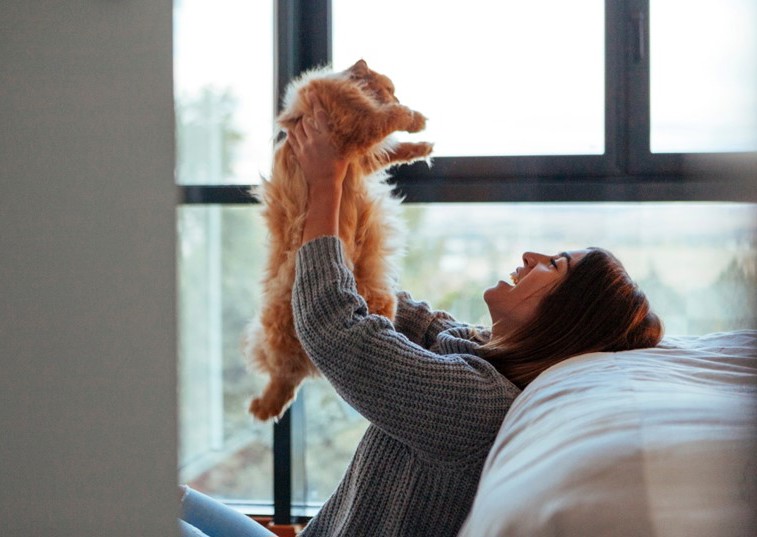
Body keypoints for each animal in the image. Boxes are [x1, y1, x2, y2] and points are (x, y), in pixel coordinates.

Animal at [242, 58, 432, 418]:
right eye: (389, 88)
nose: (396, 95)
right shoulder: (354, 129)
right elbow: (389, 121)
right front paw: (415, 118)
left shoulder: (359, 151)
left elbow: (393, 150)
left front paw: (422, 147)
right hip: (280, 331)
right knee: (284, 375)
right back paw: (265, 407)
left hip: (381, 302)